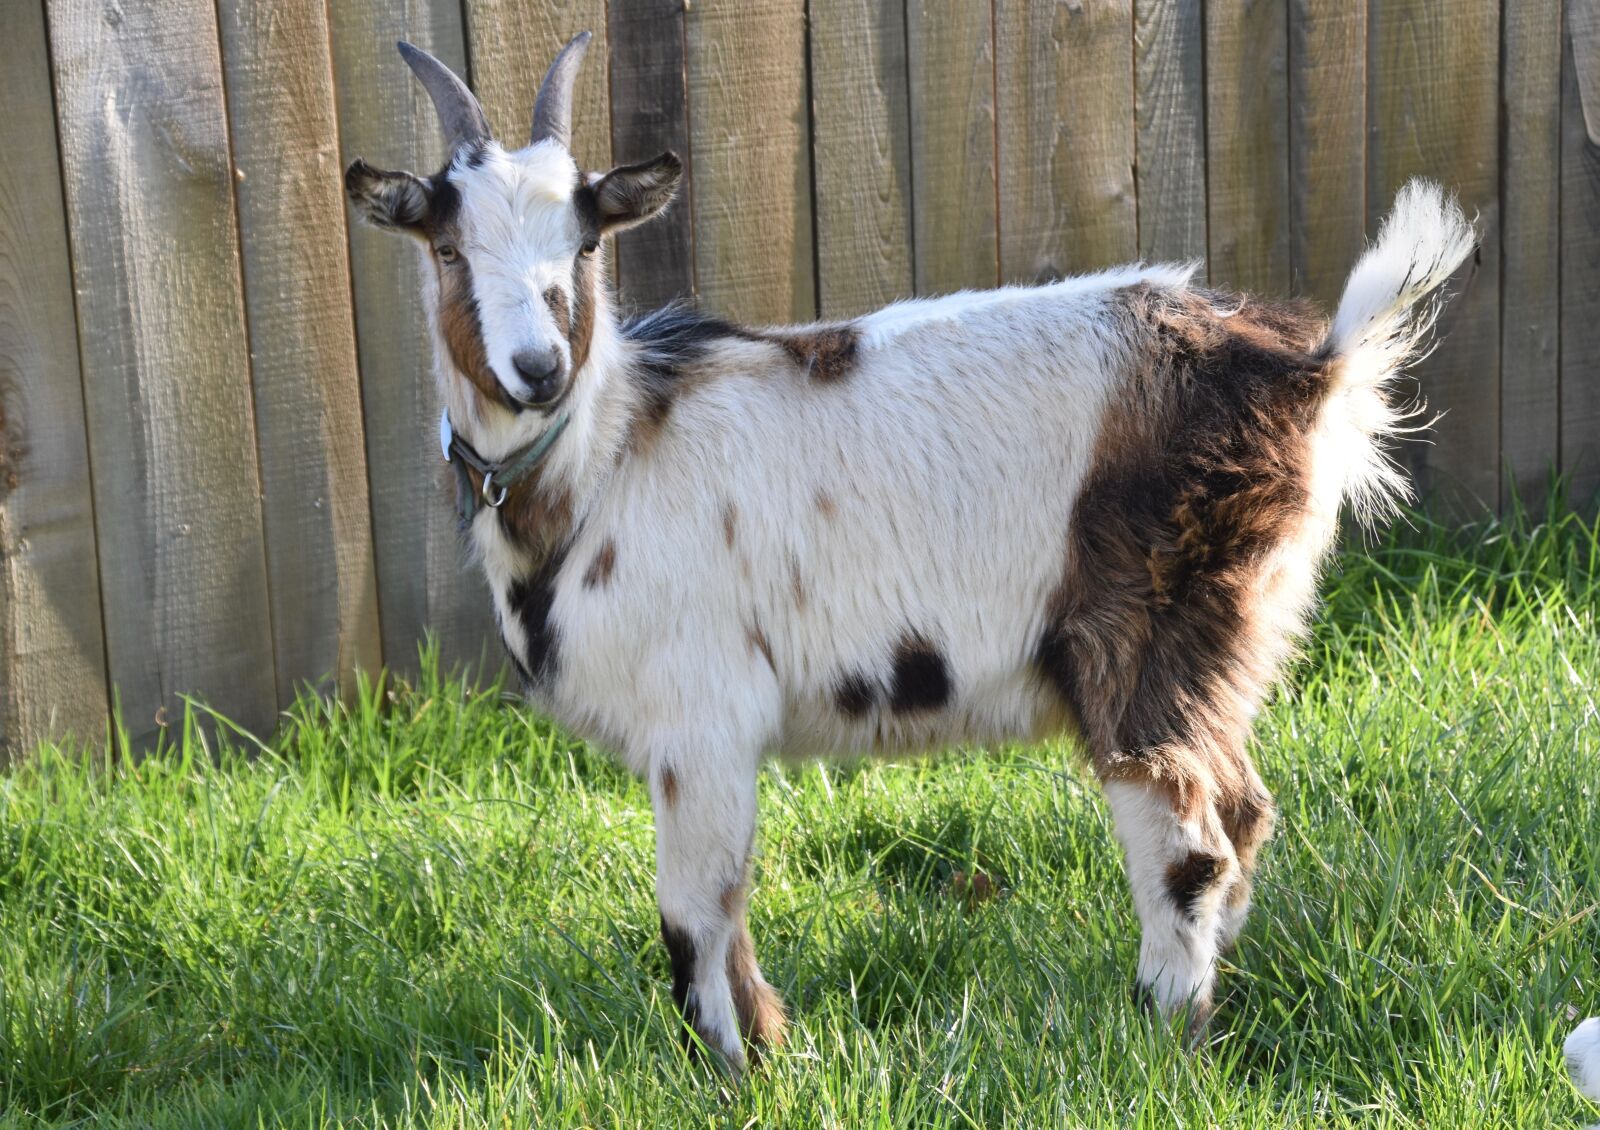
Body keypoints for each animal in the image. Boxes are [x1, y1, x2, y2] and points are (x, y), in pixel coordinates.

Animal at [344, 33, 1476, 1074]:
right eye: (447, 250)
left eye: (583, 245)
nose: (536, 368)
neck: (609, 449)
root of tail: (1308, 366)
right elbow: (724, 904)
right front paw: (773, 1049)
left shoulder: (700, 717)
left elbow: (693, 912)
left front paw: (734, 1071)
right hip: (1230, 636)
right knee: (1241, 812)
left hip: (1148, 631)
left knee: (1185, 834)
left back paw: (1158, 1034)